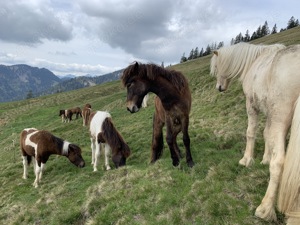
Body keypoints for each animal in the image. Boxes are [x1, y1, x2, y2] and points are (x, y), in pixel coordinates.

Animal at [210, 43, 300, 222]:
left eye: (216, 67)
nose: (219, 88)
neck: (253, 62)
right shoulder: (268, 111)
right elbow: (267, 134)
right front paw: (265, 159)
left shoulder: (252, 104)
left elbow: (251, 132)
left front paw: (247, 160)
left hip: (281, 117)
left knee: (279, 163)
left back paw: (265, 209)